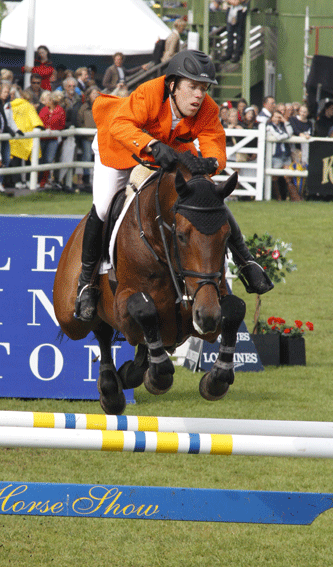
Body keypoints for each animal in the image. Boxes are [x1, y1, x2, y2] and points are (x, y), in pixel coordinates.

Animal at [53, 162, 245, 414]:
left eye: (226, 236)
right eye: (181, 236)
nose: (206, 315)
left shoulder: (210, 300)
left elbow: (234, 308)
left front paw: (216, 379)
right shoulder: (124, 308)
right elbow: (144, 309)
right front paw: (158, 376)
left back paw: (128, 374)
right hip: (70, 320)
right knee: (100, 329)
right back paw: (111, 387)